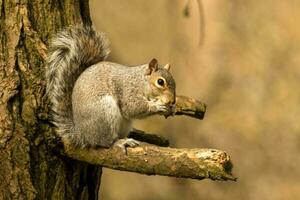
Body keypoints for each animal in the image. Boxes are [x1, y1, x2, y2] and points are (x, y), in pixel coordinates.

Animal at [44, 25, 176, 150]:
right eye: (160, 82)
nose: (172, 101)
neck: (141, 82)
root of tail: (82, 135)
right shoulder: (127, 90)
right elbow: (132, 108)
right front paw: (156, 106)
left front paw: (171, 109)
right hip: (104, 113)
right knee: (105, 142)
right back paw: (120, 142)